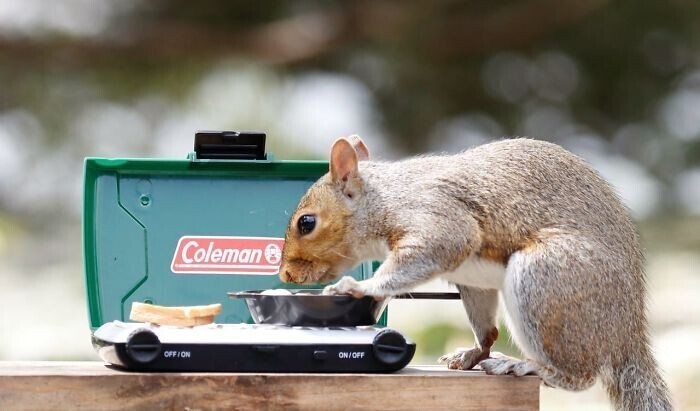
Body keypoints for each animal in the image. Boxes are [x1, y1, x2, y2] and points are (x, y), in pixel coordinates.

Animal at [278, 136, 672, 411]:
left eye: (306, 223)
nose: (285, 275)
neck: (385, 198)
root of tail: (627, 332)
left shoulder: (437, 216)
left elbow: (432, 248)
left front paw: (358, 286)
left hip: (544, 280)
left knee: (579, 376)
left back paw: (525, 367)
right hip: (480, 285)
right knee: (489, 332)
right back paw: (474, 354)